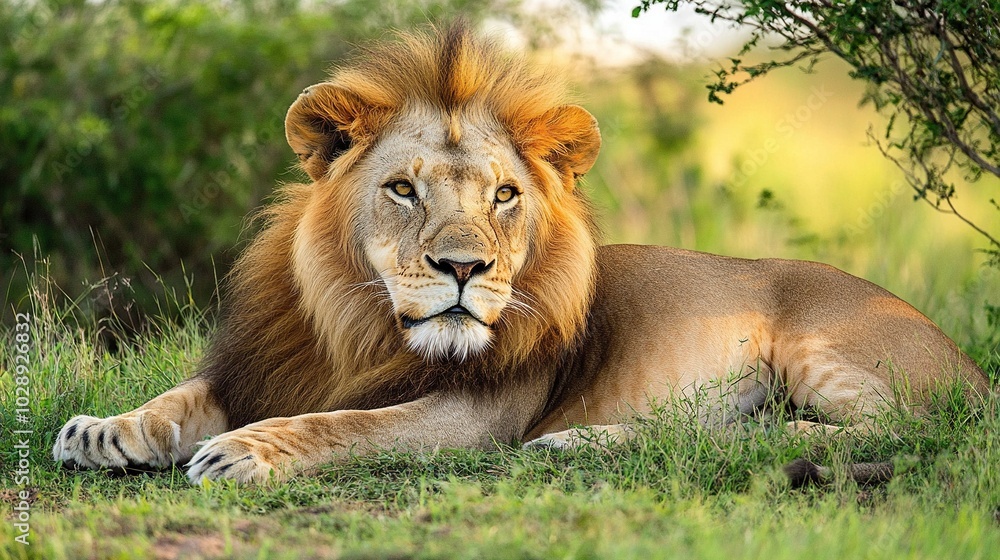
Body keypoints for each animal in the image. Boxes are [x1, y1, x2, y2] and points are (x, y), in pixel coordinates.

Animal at [53, 23, 989, 484]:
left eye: (505, 195)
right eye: (403, 189)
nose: (464, 270)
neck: (358, 323)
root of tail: (971, 366)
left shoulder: (474, 416)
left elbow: (345, 425)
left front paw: (245, 452)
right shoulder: (264, 365)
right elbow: (178, 398)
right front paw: (103, 431)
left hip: (824, 348)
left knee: (879, 430)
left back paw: (590, 447)